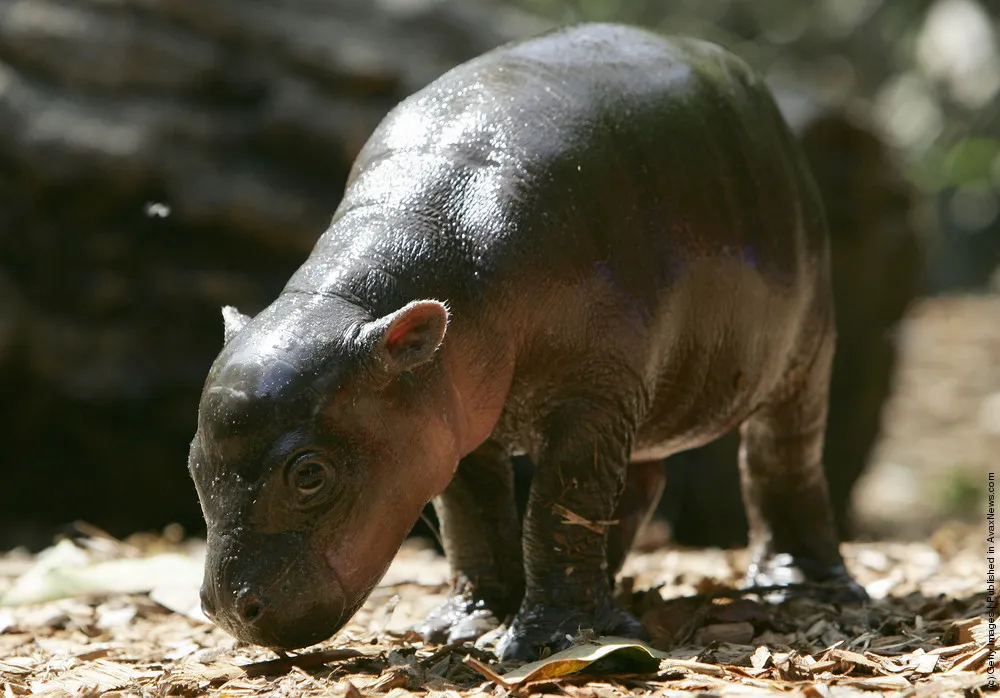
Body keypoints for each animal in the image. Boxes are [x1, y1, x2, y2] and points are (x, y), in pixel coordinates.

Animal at [189, 22, 867, 662]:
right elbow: (476, 517)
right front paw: (466, 626)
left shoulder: (590, 395)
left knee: (781, 458)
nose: (227, 615)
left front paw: (550, 640)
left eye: (309, 474)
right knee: (639, 482)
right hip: (643, 396)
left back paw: (801, 587)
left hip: (801, 353)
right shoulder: (450, 410)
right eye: (192, 462)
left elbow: (559, 506)